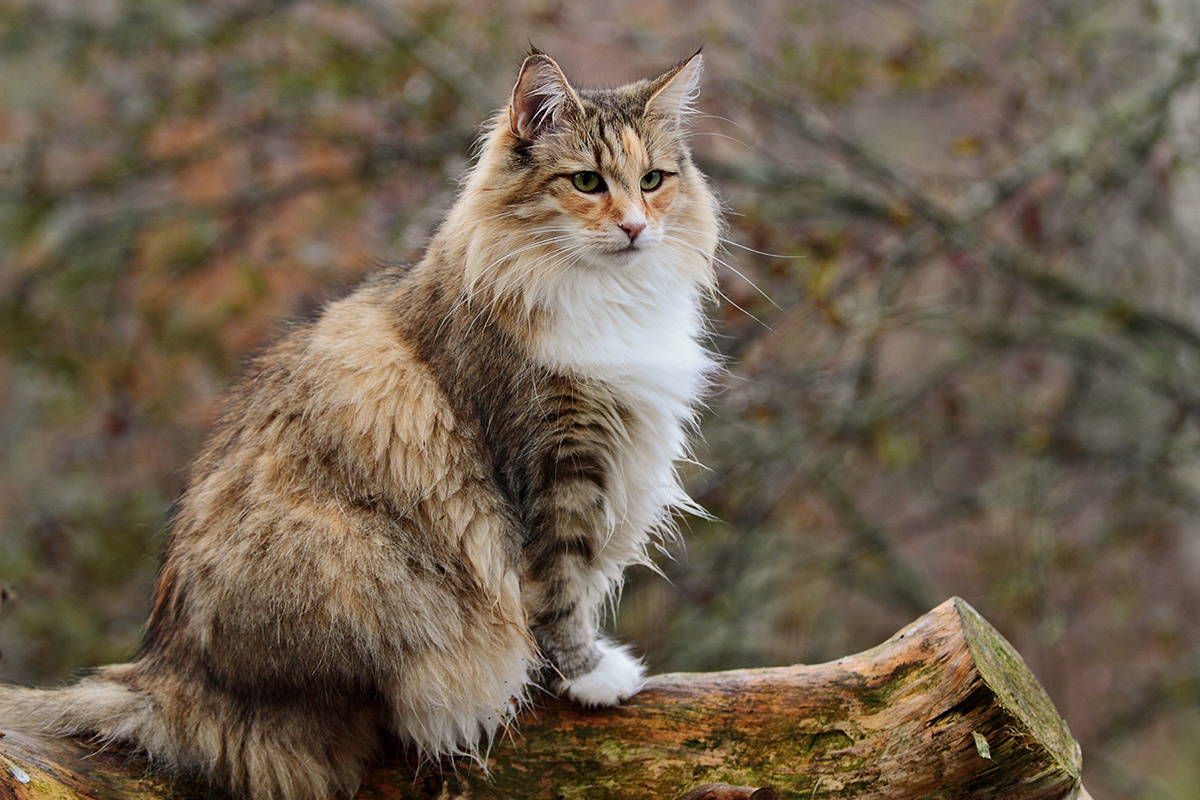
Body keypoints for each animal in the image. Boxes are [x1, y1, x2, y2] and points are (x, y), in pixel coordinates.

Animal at [0, 48, 715, 800]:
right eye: (586, 182)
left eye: (653, 181)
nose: (636, 227)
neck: (607, 300)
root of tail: (163, 676)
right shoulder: (550, 468)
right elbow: (558, 594)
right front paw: (590, 675)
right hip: (355, 559)